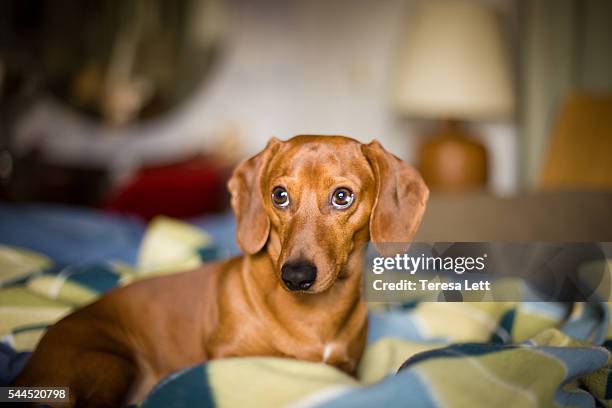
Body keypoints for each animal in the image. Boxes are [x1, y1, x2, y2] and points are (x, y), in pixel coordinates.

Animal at [14, 135, 426, 406]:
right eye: (279, 195)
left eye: (342, 197)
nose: (295, 276)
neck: (316, 315)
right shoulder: (229, 357)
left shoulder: (346, 369)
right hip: (108, 363)